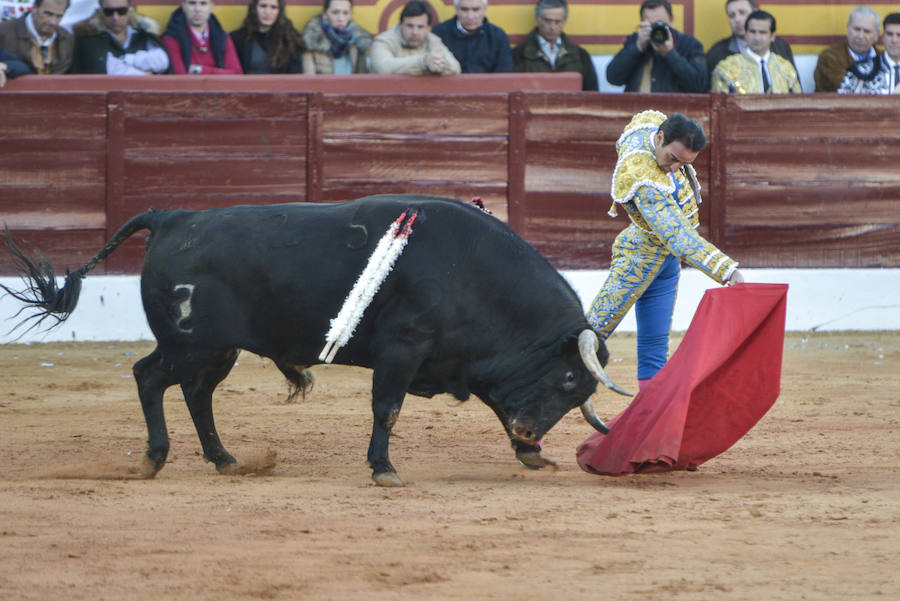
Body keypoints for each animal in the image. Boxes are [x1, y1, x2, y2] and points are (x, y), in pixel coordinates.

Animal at [3, 195, 628, 486]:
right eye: (568, 377)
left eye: (578, 391)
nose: (529, 433)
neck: (471, 271)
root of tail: (173, 217)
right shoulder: (403, 348)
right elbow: (388, 408)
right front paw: (383, 468)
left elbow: (497, 405)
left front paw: (529, 454)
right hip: (193, 344)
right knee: (149, 377)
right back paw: (155, 458)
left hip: (218, 350)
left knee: (196, 394)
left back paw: (225, 459)